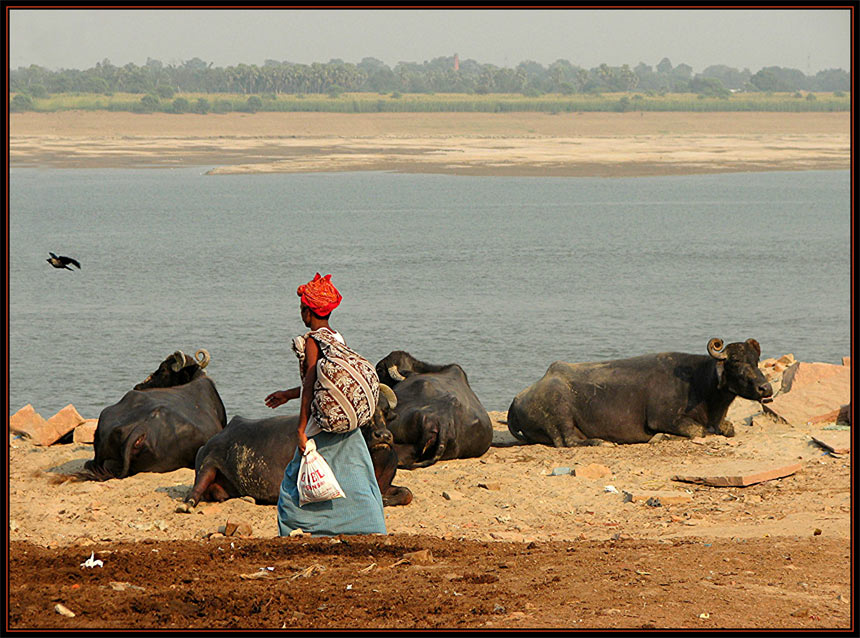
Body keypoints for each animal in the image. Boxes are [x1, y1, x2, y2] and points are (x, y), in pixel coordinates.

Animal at [185, 388, 414, 508]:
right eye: (365, 413)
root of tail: (213, 439)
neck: (376, 462)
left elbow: (407, 493)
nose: (383, 436)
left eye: (386, 412)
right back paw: (187, 504)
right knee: (197, 486)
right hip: (208, 463)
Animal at [508, 338, 776, 448]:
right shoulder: (663, 418)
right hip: (559, 410)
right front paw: (662, 437)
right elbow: (698, 431)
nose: (765, 388)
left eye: (756, 360)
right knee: (566, 441)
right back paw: (601, 442)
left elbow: (728, 429)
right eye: (735, 362)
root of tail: (519, 397)